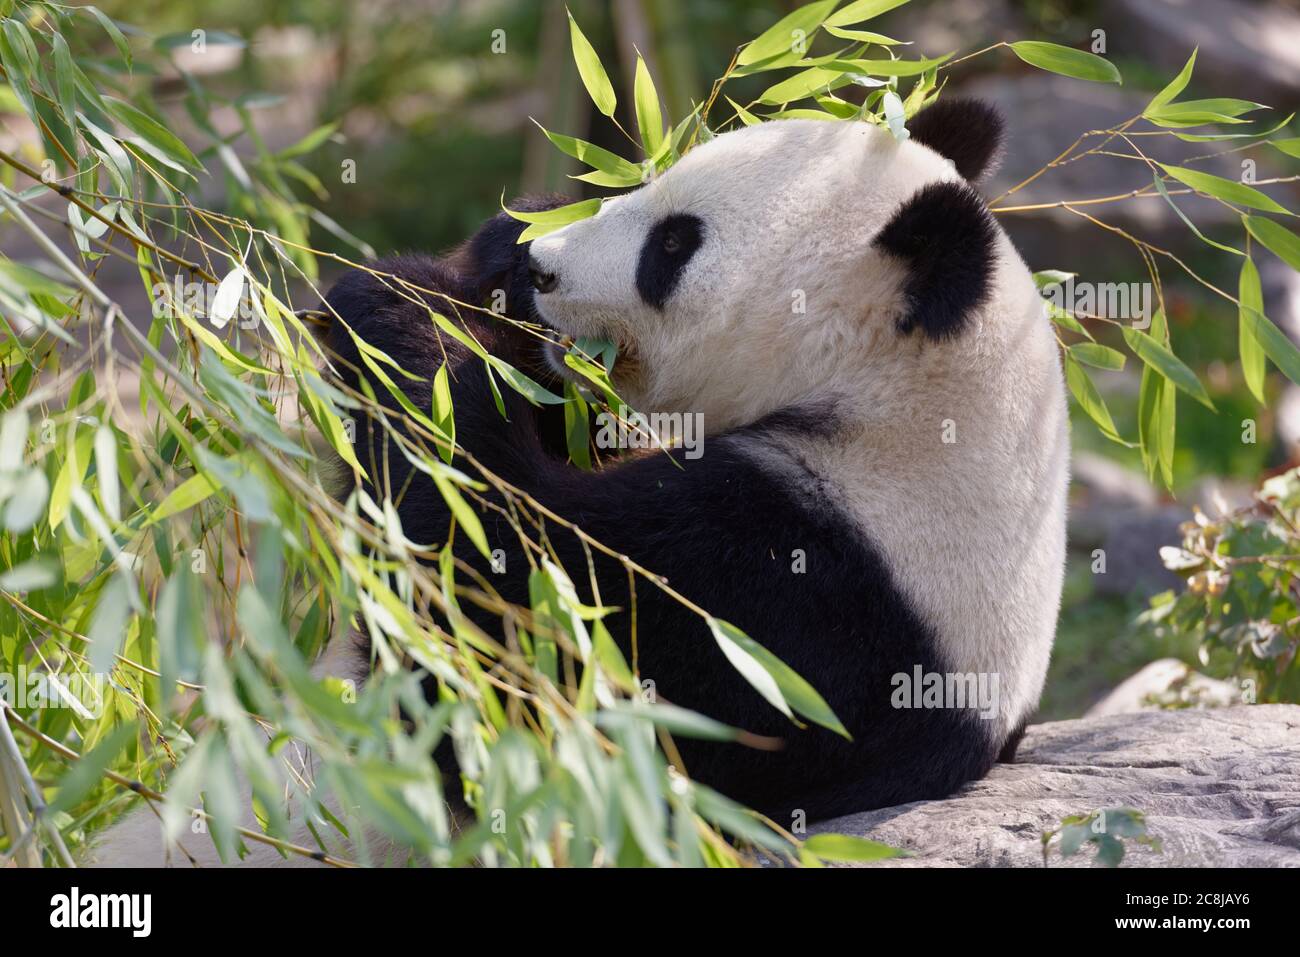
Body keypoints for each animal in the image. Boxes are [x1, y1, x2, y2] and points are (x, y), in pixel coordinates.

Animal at [89, 98, 1066, 868]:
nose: (544, 266)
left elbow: (493, 618)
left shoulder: (803, 609)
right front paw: (503, 249)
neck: (916, 407)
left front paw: (399, 306)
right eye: (653, 184)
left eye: (674, 244)